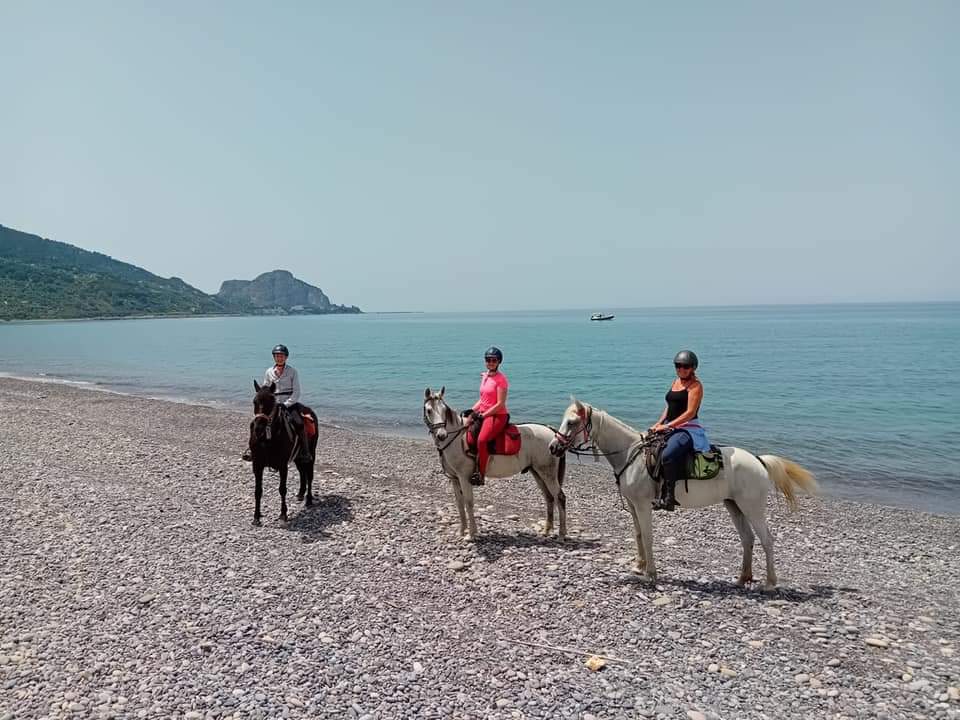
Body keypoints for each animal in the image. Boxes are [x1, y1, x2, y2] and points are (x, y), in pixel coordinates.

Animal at [248, 381, 319, 527]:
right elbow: (258, 491)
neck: (268, 439)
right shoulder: (257, 465)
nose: (258, 429)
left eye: (272, 401)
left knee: (309, 475)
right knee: (302, 473)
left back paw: (309, 500)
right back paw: (300, 494)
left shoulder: (282, 466)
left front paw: (283, 515)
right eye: (254, 401)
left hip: (311, 455)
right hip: (297, 458)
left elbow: (282, 489)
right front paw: (256, 517)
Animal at [423, 387, 568, 541]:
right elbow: (460, 503)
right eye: (429, 410)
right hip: (538, 472)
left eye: (444, 410)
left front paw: (471, 534)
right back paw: (546, 530)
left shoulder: (464, 478)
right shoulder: (455, 479)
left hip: (547, 473)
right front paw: (461, 531)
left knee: (560, 497)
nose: (441, 435)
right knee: (549, 497)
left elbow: (468, 502)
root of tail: (553, 434)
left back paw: (561, 534)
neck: (457, 440)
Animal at [549, 399, 817, 588]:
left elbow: (648, 537)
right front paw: (640, 565)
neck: (630, 455)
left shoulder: (643, 505)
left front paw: (650, 574)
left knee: (766, 540)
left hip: (752, 507)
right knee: (747, 539)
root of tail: (759, 461)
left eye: (571, 422)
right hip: (734, 505)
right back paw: (743, 578)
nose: (553, 447)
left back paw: (770, 584)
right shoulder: (633, 506)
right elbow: (638, 535)